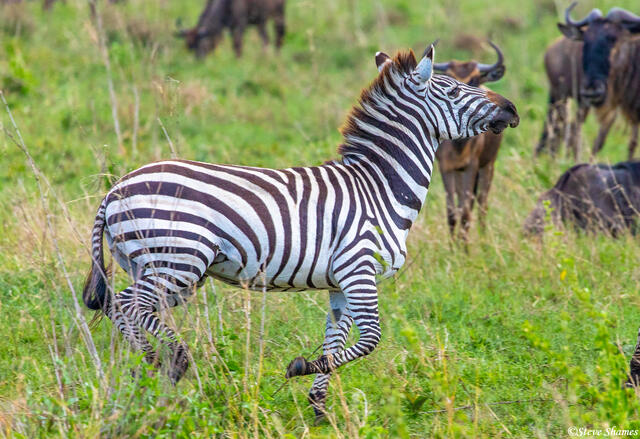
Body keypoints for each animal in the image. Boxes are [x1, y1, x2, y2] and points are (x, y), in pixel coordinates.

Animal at [83, 42, 519, 419]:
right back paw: (173, 360)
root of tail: (115, 189)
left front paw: (319, 408)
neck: (379, 187)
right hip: (177, 262)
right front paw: (299, 368)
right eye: (454, 88)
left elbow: (338, 339)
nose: (512, 108)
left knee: (119, 306)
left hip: (160, 267)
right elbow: (371, 338)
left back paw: (150, 365)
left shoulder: (341, 284)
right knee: (128, 305)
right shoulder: (359, 269)